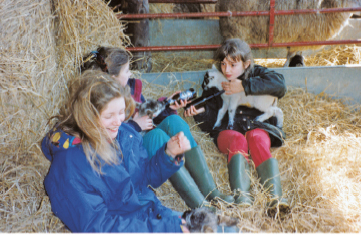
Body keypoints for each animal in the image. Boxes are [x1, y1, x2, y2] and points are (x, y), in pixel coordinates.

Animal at [216, 0, 360, 66]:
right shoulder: (298, 37)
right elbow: (290, 55)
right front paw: (286, 66)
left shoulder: (299, 39)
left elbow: (297, 53)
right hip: (236, 29)